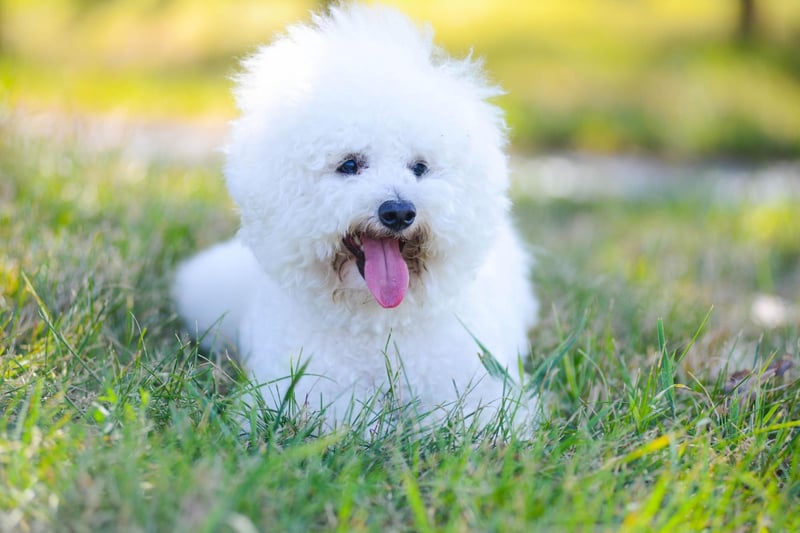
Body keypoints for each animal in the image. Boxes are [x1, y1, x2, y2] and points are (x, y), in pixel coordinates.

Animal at [173, 3, 540, 428]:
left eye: (420, 167)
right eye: (349, 165)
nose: (398, 212)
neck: (377, 325)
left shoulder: (478, 392)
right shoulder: (305, 392)